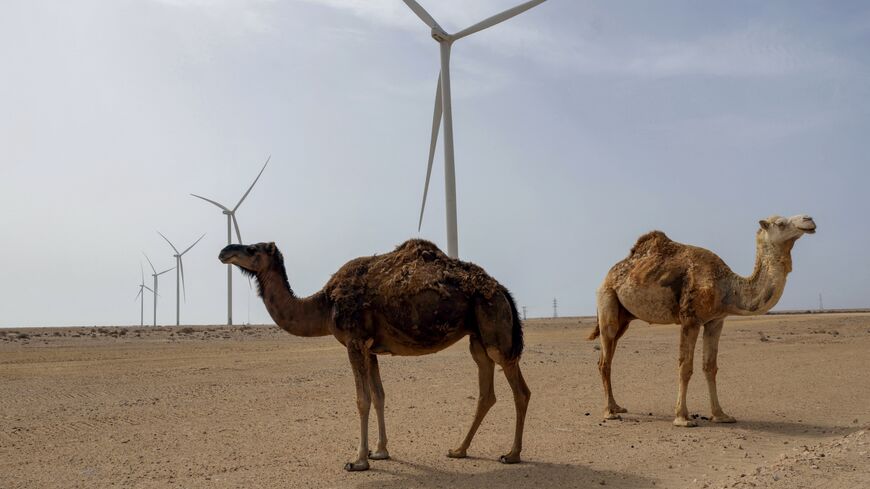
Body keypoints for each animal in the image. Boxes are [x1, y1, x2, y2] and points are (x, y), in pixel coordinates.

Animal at [218, 239, 530, 471]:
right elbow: (379, 396)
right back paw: (459, 449)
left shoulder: (354, 341)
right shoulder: (370, 348)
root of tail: (502, 289)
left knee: (520, 391)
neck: (324, 305)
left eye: (252, 249)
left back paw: (512, 454)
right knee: (486, 392)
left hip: (495, 328)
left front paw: (358, 460)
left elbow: (362, 399)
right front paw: (380, 451)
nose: (224, 251)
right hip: (478, 337)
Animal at [589, 214, 816, 427]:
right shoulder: (690, 319)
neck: (728, 287)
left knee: (607, 356)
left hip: (625, 318)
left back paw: (617, 406)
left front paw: (721, 415)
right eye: (780, 223)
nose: (809, 220)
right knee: (605, 360)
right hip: (607, 299)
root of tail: (606, 276)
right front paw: (682, 417)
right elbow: (685, 367)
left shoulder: (716, 321)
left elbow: (710, 366)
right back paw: (610, 412)